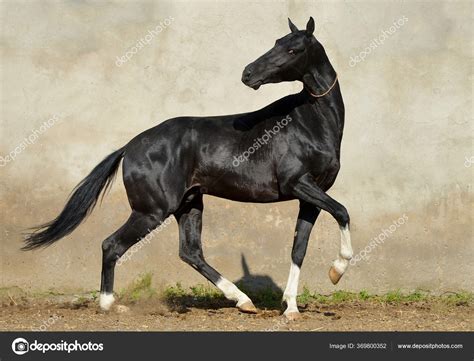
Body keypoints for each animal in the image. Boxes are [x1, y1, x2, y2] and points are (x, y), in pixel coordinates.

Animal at [25, 17, 352, 320]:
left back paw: (243, 301)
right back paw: (109, 304)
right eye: (277, 42)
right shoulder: (297, 183)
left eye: (293, 48)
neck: (308, 123)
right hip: (152, 211)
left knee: (190, 252)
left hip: (189, 204)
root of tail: (129, 146)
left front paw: (291, 308)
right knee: (112, 245)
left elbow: (299, 248)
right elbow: (342, 212)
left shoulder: (310, 196)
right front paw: (336, 272)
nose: (248, 74)